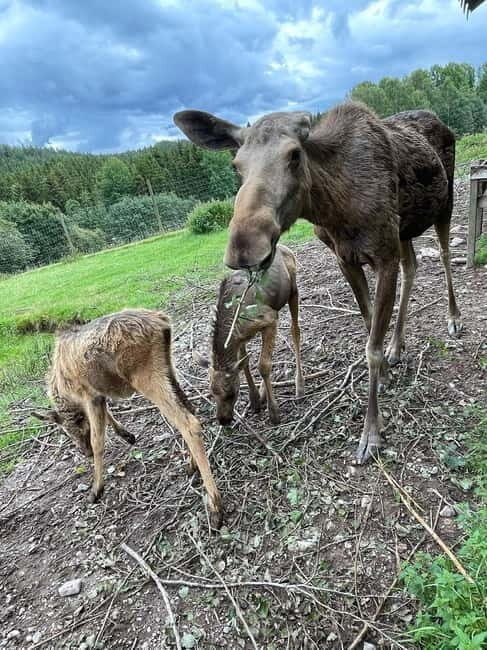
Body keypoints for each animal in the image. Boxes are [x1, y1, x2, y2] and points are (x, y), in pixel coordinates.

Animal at [32, 309, 222, 528]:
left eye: (69, 431)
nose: (83, 451)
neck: (64, 392)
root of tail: (163, 322)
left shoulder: (89, 395)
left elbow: (98, 441)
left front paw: (96, 489)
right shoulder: (99, 395)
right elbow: (108, 416)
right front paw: (126, 434)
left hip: (145, 375)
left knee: (188, 423)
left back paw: (215, 504)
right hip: (168, 366)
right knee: (190, 408)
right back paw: (192, 466)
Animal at [194, 244, 304, 426]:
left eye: (231, 393)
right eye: (211, 393)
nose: (223, 420)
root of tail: (285, 247)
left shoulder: (269, 319)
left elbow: (263, 365)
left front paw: (274, 413)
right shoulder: (241, 337)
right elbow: (245, 363)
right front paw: (255, 401)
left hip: (293, 291)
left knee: (295, 331)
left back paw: (299, 385)